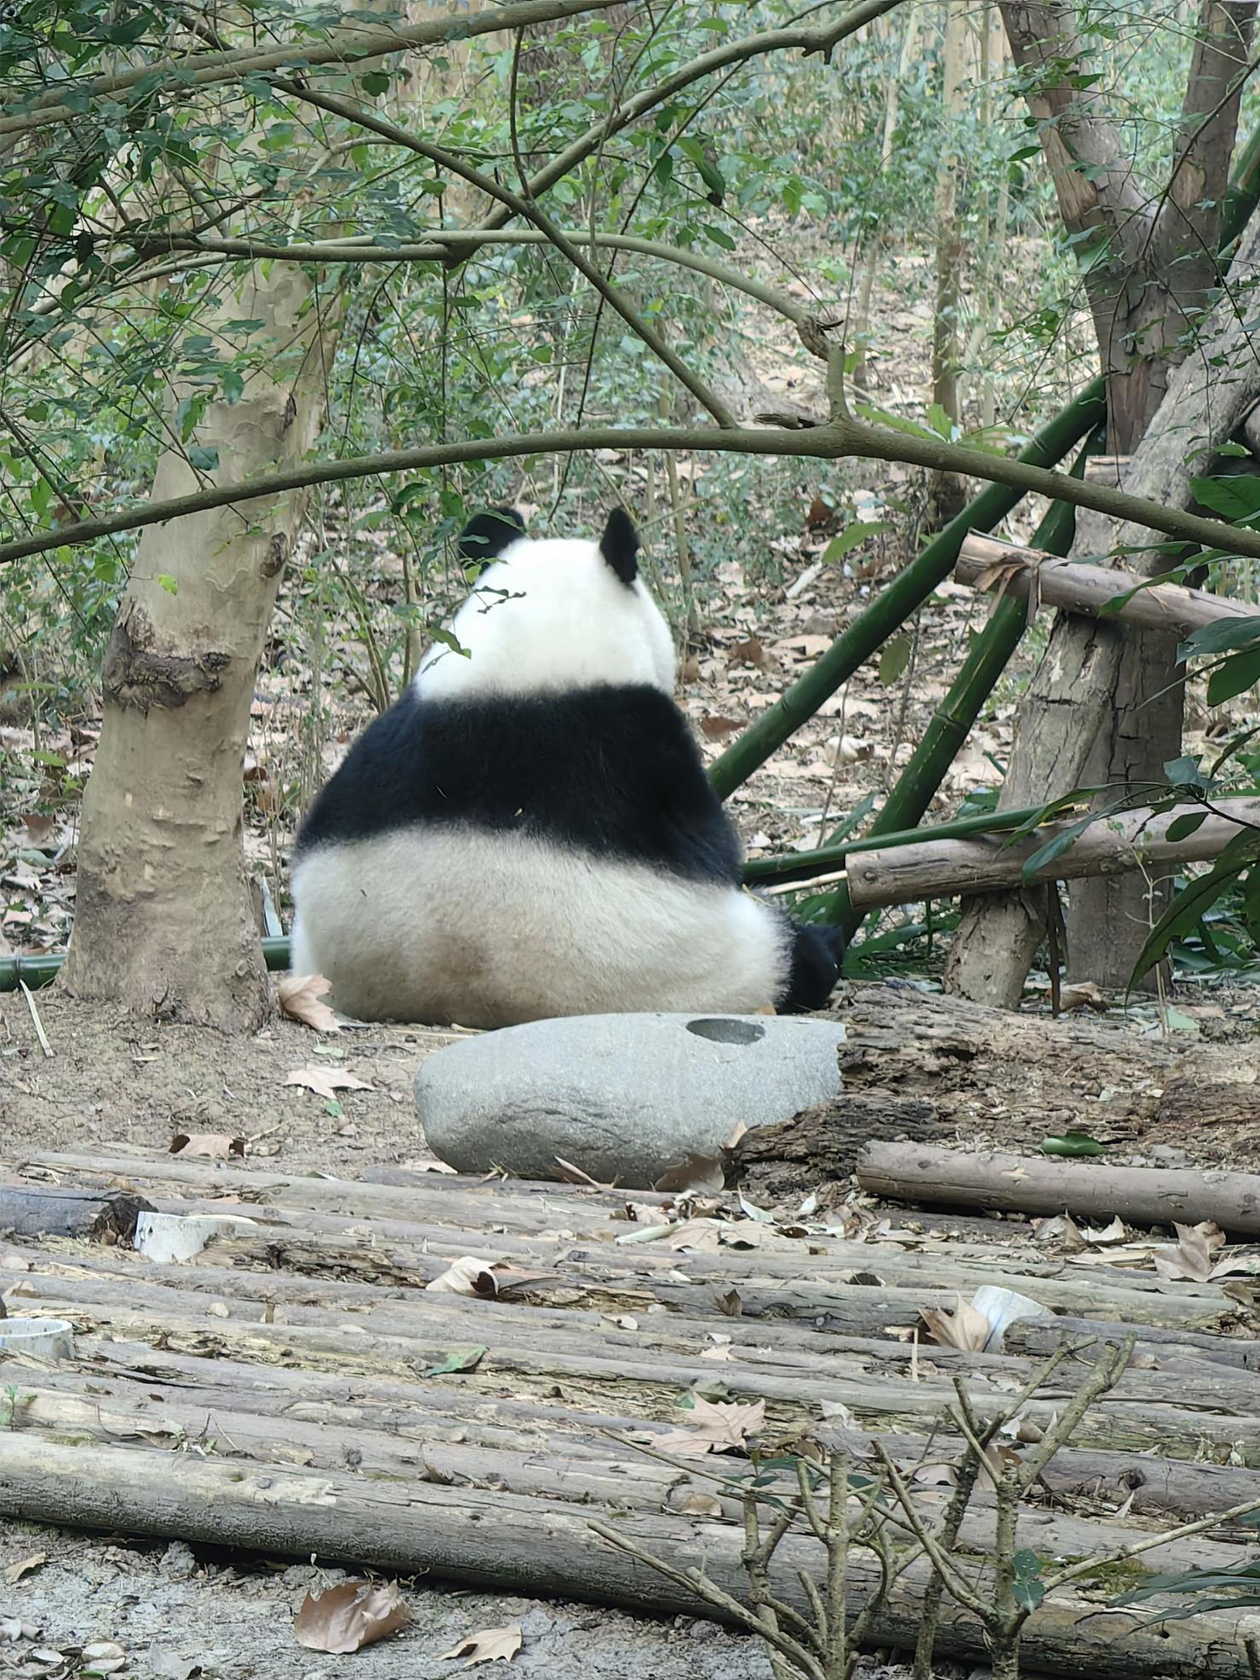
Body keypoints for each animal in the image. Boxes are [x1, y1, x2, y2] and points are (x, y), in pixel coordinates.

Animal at [292, 500, 850, 1021]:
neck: (529, 655)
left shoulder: (377, 755)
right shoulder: (646, 752)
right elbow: (708, 843)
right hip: (717, 967)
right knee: (794, 957)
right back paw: (825, 944)